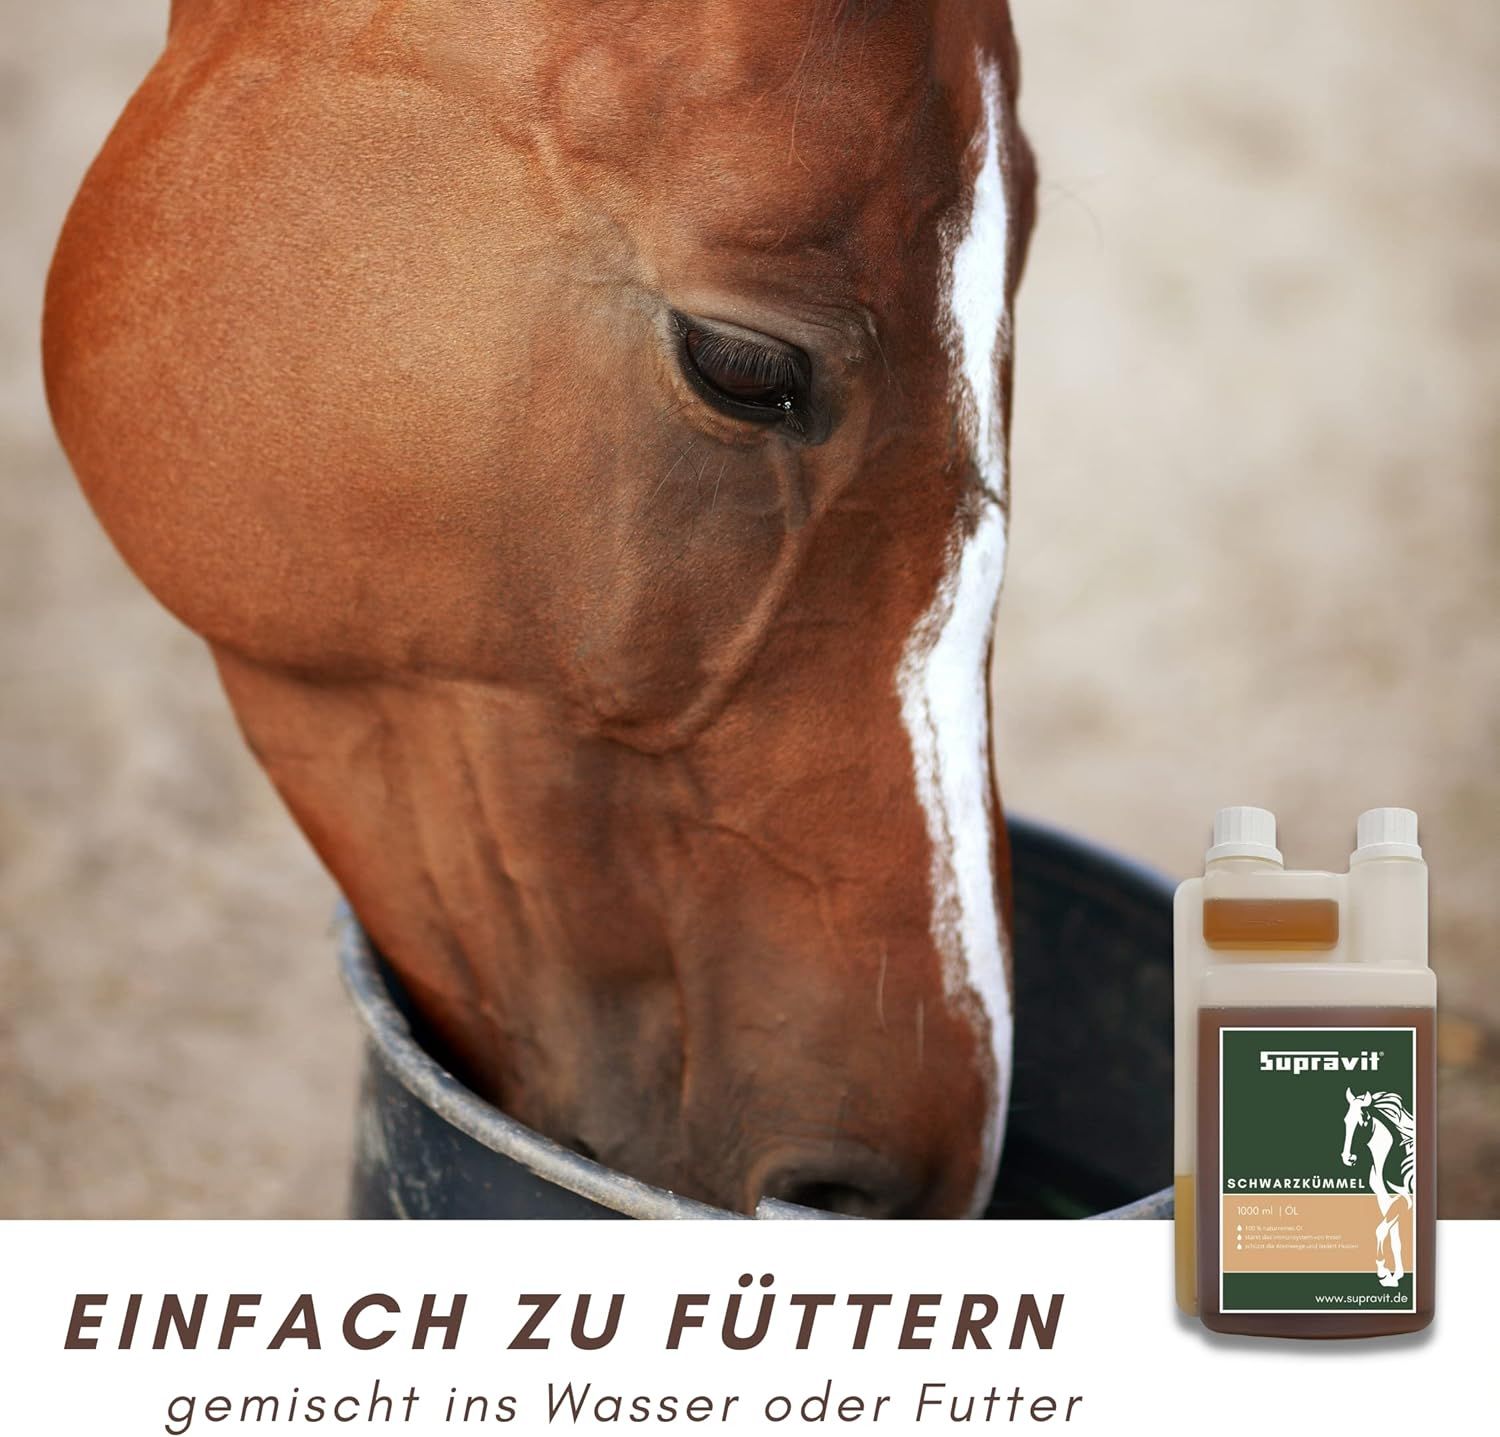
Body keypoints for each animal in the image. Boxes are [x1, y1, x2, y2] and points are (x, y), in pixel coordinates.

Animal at [1341, 1088, 1417, 1287]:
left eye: (1363, 1122)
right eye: (1345, 1120)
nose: (1348, 1158)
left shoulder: (1406, 1200)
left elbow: (1381, 1230)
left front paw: (1384, 1273)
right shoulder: (1385, 1199)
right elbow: (1394, 1238)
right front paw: (1395, 1275)